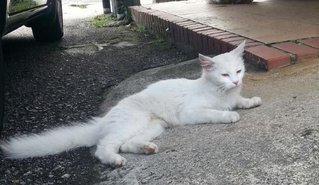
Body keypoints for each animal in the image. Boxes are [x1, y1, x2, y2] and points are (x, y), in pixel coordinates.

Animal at [0, 40, 262, 168]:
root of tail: (106, 118)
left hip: (153, 126)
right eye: (224, 75)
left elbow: (240, 101)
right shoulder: (192, 112)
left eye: (238, 71)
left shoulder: (233, 97)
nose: (236, 81)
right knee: (104, 147)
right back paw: (114, 161)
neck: (221, 92)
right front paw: (229, 115)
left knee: (125, 144)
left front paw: (251, 101)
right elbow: (215, 112)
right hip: (131, 123)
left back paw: (146, 149)